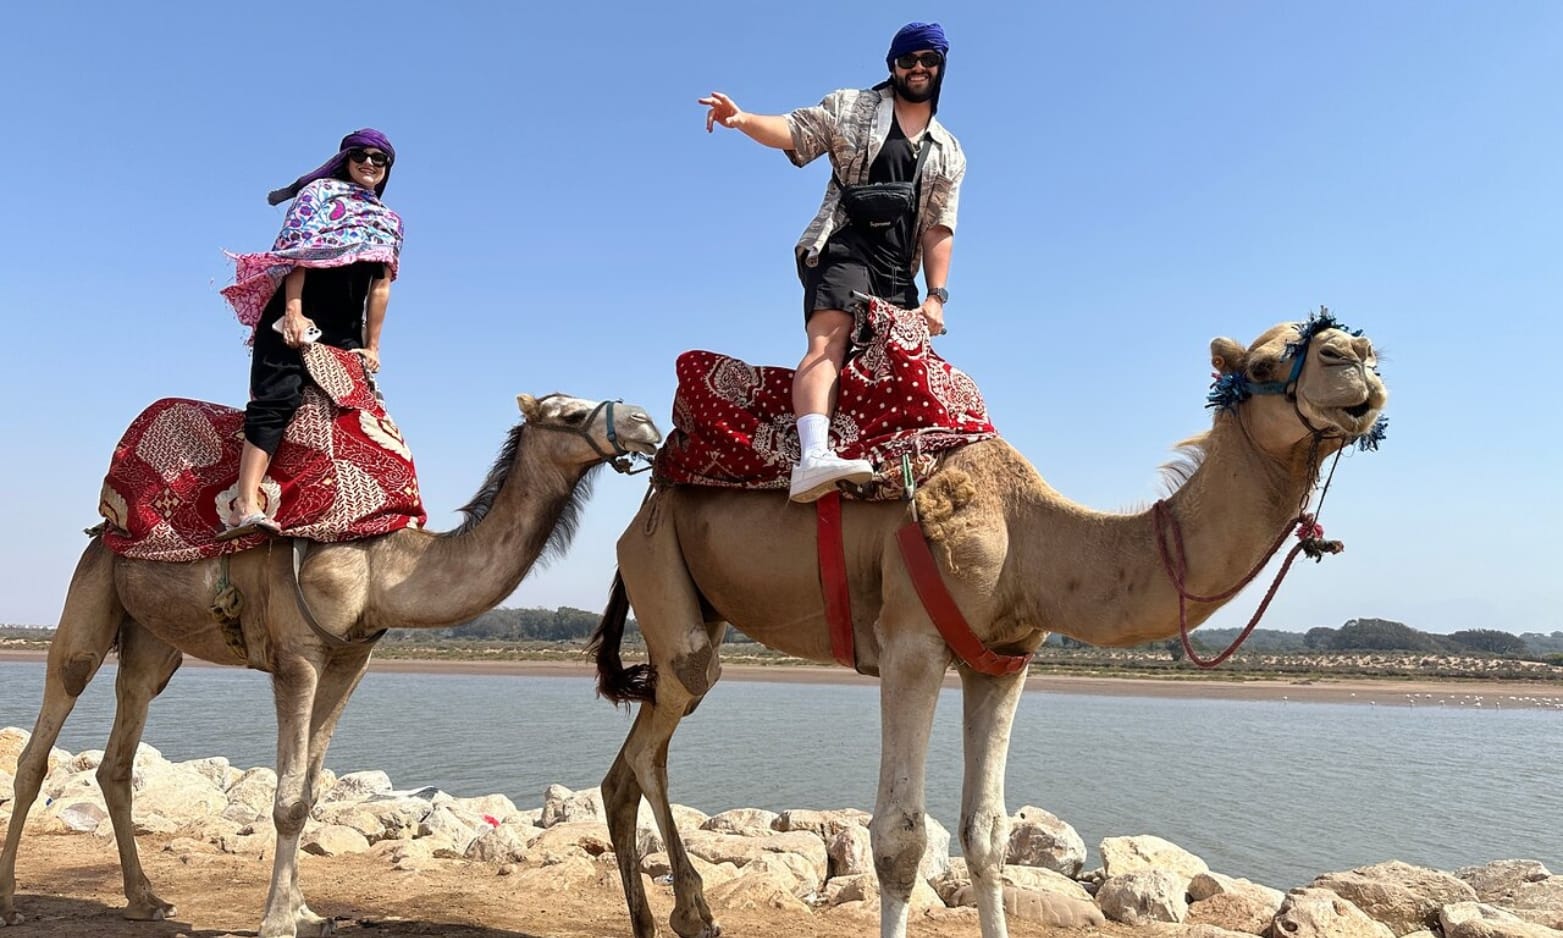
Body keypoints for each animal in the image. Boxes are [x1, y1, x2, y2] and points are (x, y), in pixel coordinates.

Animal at [0, 392, 661, 938]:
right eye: (569, 414)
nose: (646, 423)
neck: (381, 568)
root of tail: (107, 522)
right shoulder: (298, 657)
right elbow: (288, 798)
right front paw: (275, 922)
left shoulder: (351, 661)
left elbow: (311, 792)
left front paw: (306, 912)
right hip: (90, 597)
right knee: (42, 740)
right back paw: (10, 902)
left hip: (151, 644)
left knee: (118, 756)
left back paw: (146, 901)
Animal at [590, 318, 1388, 938]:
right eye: (1263, 365)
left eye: (1352, 347)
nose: (1356, 355)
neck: (1033, 539)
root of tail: (648, 492)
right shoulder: (912, 646)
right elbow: (899, 837)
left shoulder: (1003, 659)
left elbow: (988, 833)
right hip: (661, 570)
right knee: (655, 744)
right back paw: (692, 913)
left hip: (691, 604)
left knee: (630, 762)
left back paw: (655, 918)